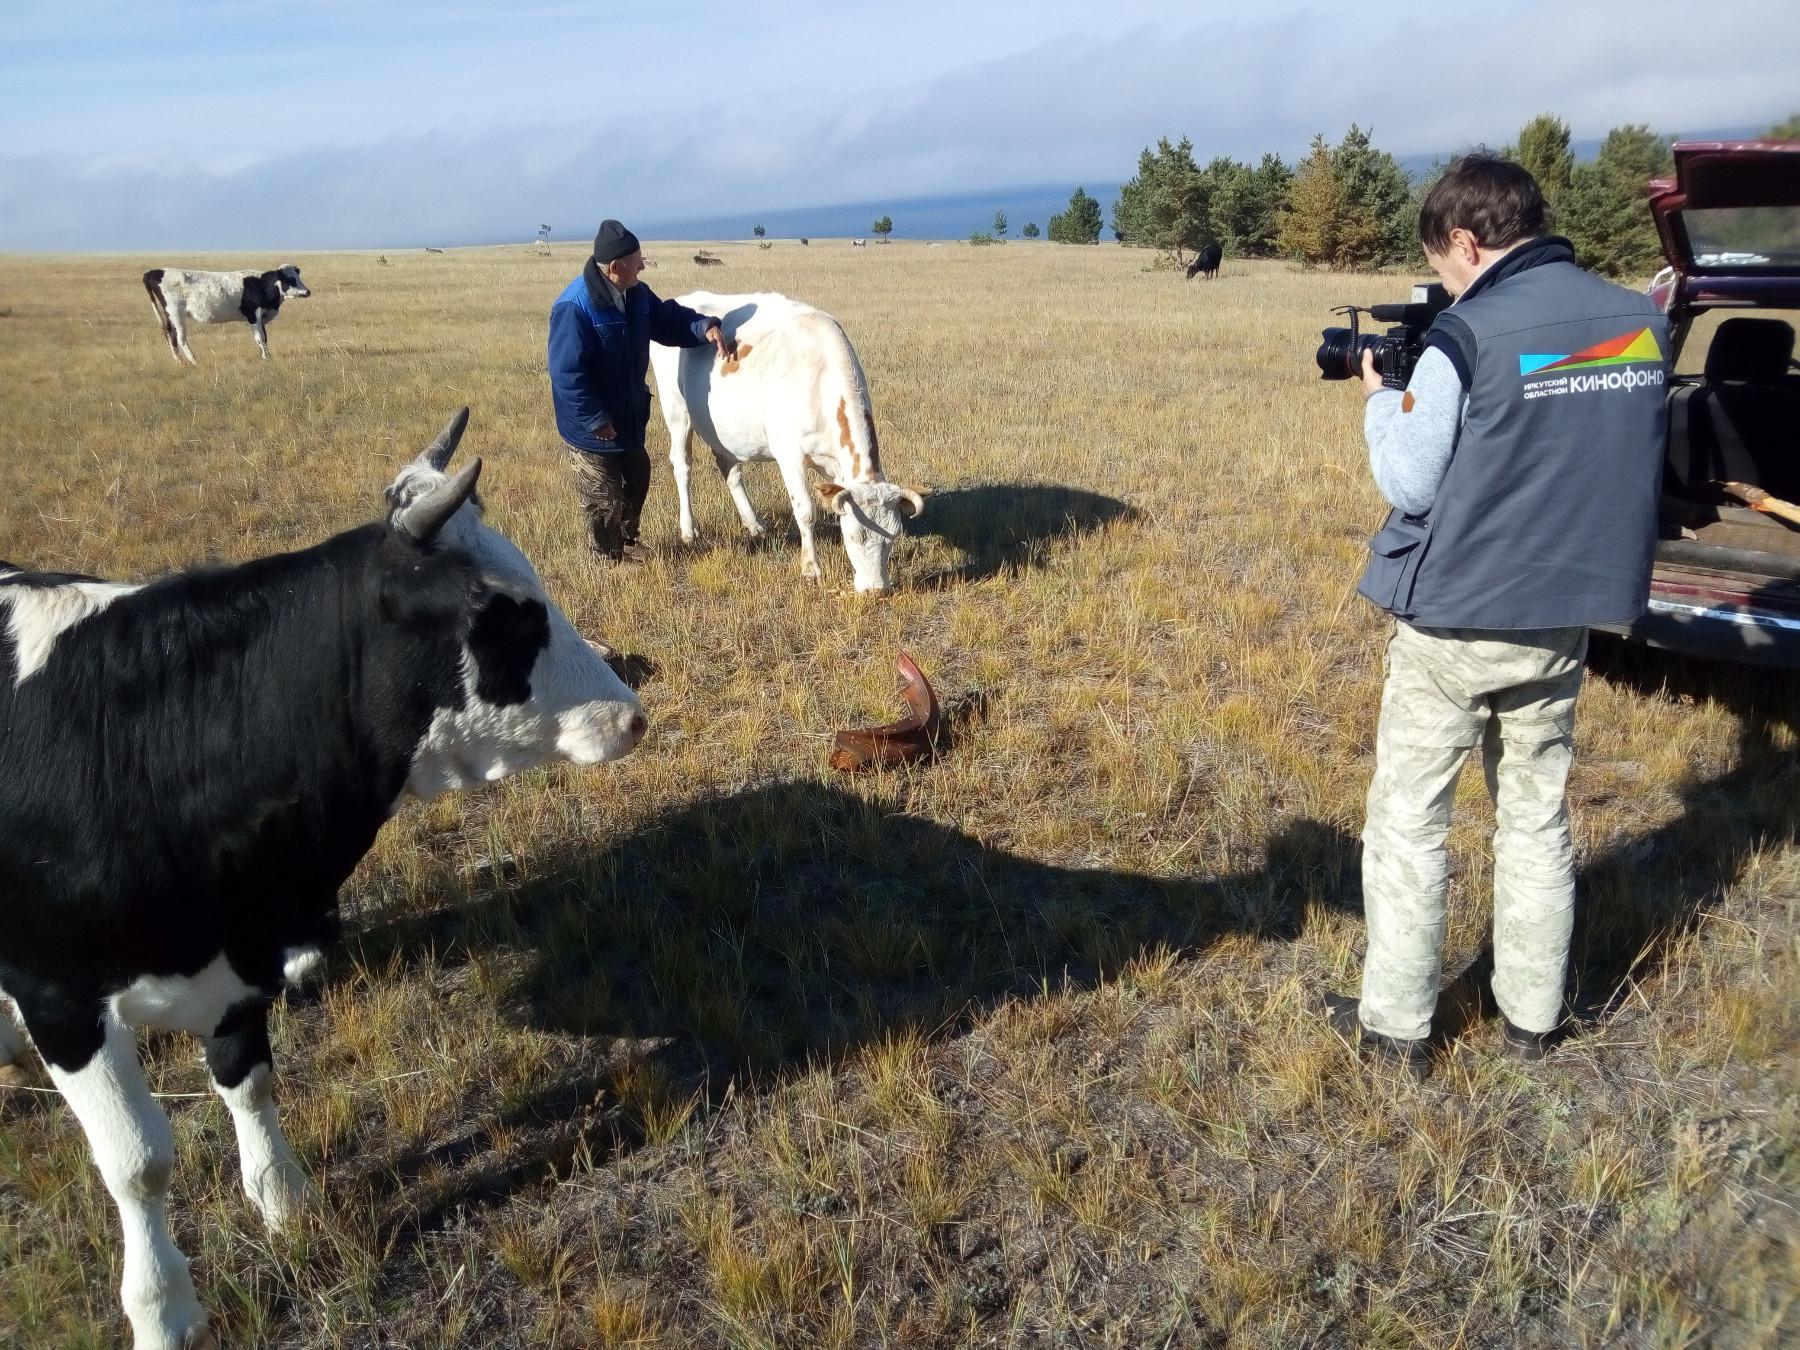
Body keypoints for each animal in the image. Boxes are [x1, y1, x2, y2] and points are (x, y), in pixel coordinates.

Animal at [0, 409, 645, 1350]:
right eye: (504, 619)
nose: (632, 713)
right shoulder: (60, 995)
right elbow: (139, 1163)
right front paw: (163, 1307)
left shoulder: (241, 957)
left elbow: (251, 1079)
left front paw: (284, 1202)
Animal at [143, 264, 311, 364]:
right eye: (290, 279)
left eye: (298, 276)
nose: (307, 291)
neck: (261, 284)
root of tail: (155, 271)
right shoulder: (252, 315)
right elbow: (259, 337)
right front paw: (266, 357)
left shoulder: (261, 317)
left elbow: (264, 336)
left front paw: (266, 355)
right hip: (176, 312)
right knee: (180, 337)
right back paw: (193, 361)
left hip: (169, 315)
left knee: (170, 334)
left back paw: (179, 361)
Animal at [648, 292, 923, 593]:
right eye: (855, 536)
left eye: (893, 536)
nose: (877, 590)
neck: (820, 380)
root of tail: (685, 297)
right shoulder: (789, 455)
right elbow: (805, 511)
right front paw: (810, 568)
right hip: (676, 411)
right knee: (682, 466)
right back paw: (689, 529)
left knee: (729, 468)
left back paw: (754, 525)